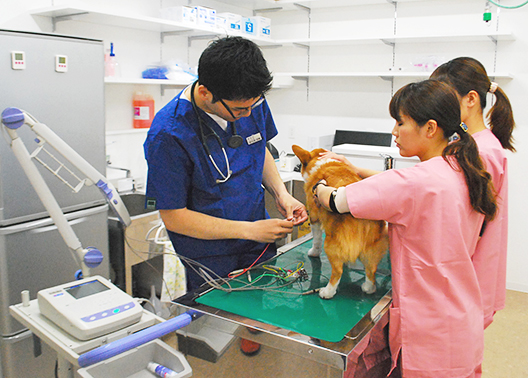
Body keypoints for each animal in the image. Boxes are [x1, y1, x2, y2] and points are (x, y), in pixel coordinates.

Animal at [290, 146, 390, 300]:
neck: (323, 162)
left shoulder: (315, 219)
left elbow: (316, 240)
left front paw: (313, 252)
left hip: (331, 244)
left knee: (337, 271)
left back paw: (327, 292)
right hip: (372, 247)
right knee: (371, 270)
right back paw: (368, 288)